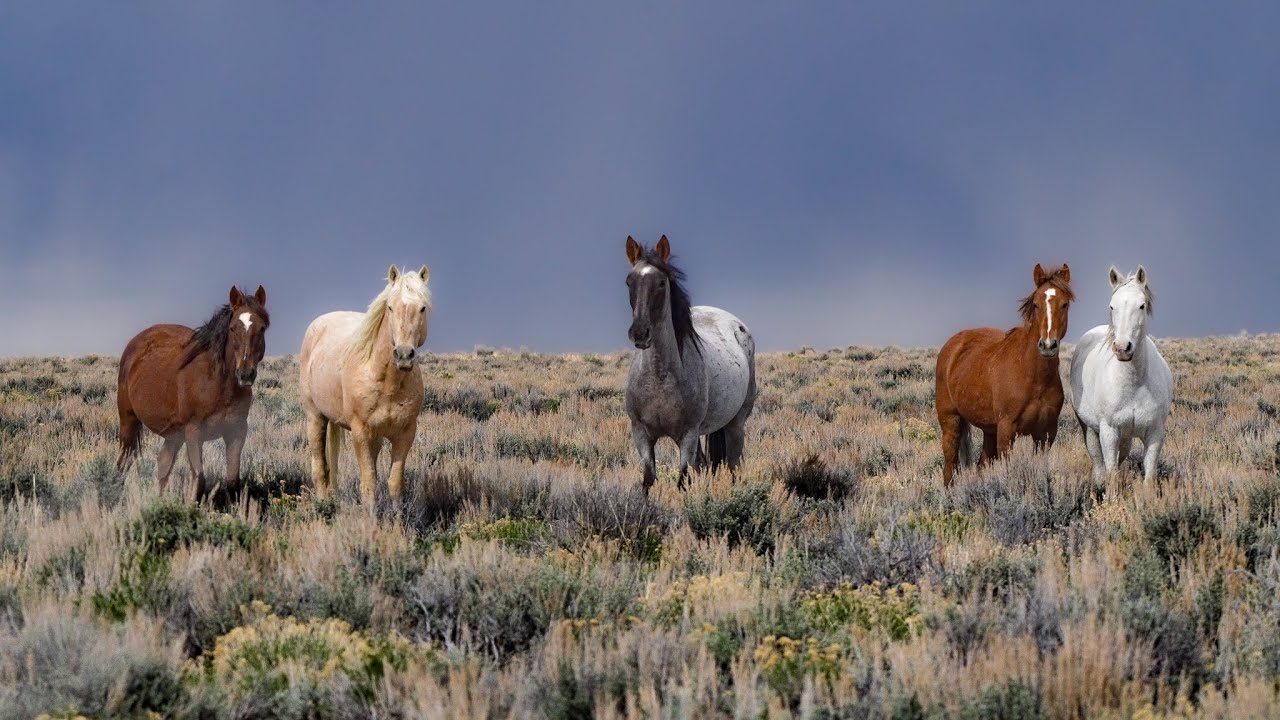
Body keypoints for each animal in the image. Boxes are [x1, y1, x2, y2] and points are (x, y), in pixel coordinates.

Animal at [116, 285, 270, 498]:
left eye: (262, 328)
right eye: (232, 328)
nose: (245, 374)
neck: (218, 384)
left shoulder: (236, 432)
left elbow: (232, 482)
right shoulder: (194, 432)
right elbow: (198, 479)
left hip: (174, 435)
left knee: (163, 465)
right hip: (128, 421)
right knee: (123, 463)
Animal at [299, 265, 431, 509]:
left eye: (422, 308)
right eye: (390, 307)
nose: (404, 355)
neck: (386, 382)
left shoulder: (405, 433)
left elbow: (394, 485)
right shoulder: (360, 433)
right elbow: (369, 485)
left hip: (375, 437)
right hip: (315, 417)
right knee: (320, 467)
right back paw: (323, 505)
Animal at [623, 235, 756, 492]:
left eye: (661, 283)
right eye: (629, 281)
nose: (640, 333)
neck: (659, 377)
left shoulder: (687, 436)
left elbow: (682, 480)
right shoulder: (641, 434)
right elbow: (648, 480)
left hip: (735, 425)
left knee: (733, 466)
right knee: (704, 464)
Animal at [935, 264, 1073, 486]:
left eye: (1065, 304)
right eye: (1035, 305)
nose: (1047, 345)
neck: (1033, 377)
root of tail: (953, 344)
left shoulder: (1045, 434)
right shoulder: (1007, 431)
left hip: (989, 430)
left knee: (981, 465)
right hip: (951, 421)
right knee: (950, 467)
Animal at [1069, 266, 1173, 487]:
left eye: (1142, 305)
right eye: (1112, 306)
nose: (1122, 348)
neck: (1134, 384)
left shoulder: (1154, 434)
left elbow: (1149, 475)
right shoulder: (1109, 433)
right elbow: (1111, 474)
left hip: (1125, 437)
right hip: (1089, 428)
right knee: (1098, 463)